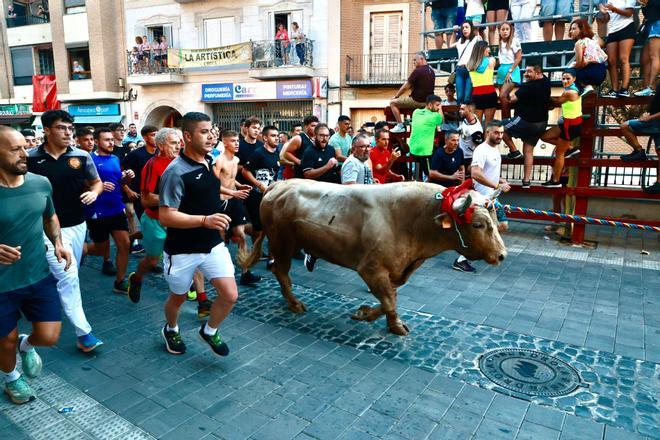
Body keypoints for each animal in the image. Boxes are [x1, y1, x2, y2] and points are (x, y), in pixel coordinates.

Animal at [240, 177, 508, 336]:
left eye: (495, 219)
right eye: (477, 224)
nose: (501, 255)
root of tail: (278, 185)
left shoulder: (396, 271)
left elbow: (391, 299)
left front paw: (380, 318)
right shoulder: (371, 269)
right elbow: (389, 301)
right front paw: (379, 319)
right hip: (282, 243)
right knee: (281, 271)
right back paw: (294, 303)